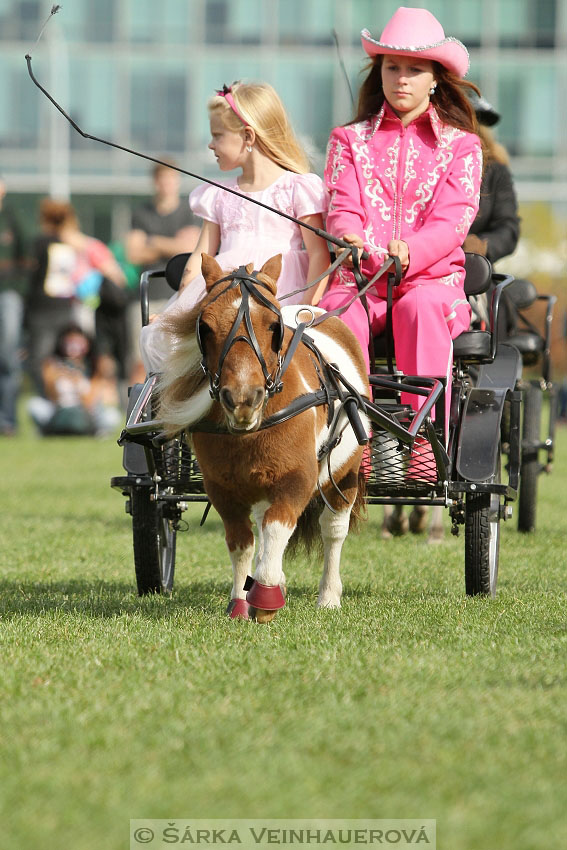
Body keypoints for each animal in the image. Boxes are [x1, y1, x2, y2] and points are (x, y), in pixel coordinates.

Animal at [158, 253, 370, 624]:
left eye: (274, 326)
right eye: (205, 327)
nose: (243, 399)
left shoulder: (297, 479)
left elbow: (276, 528)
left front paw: (266, 596)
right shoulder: (223, 488)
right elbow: (242, 541)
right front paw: (241, 600)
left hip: (344, 474)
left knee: (332, 529)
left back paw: (329, 595)